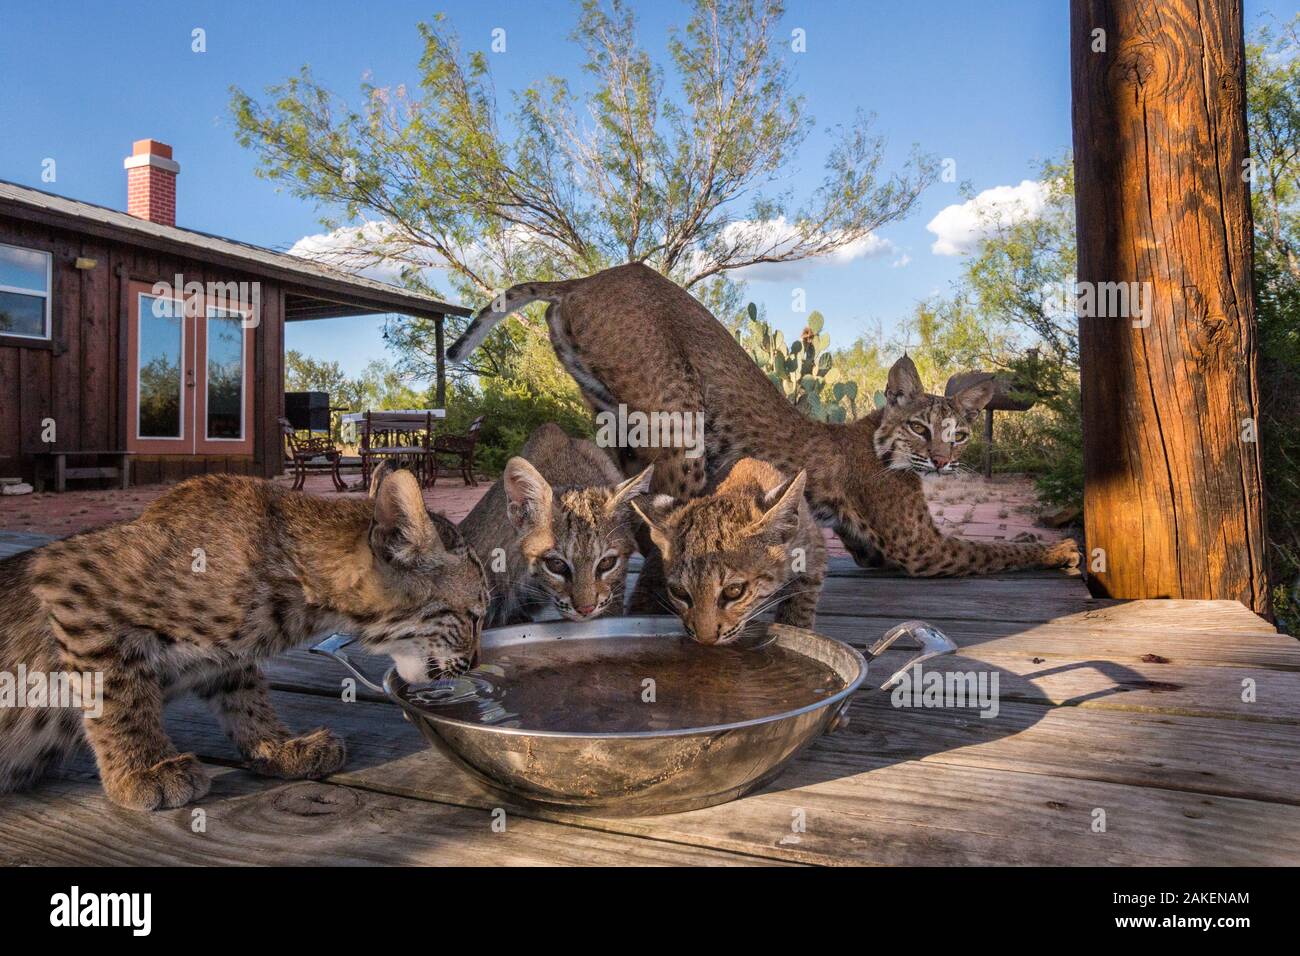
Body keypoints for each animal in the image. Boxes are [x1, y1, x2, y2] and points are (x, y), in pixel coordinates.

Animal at [0, 468, 488, 811]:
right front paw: (144, 769)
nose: (475, 664)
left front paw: (278, 746)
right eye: (473, 617)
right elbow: (118, 694)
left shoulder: (229, 653)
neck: (298, 597)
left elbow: (245, 693)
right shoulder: (68, 579)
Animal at [629, 457, 821, 650]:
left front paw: (796, 626)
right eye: (679, 591)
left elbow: (801, 602)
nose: (706, 640)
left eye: (733, 590)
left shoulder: (813, 552)